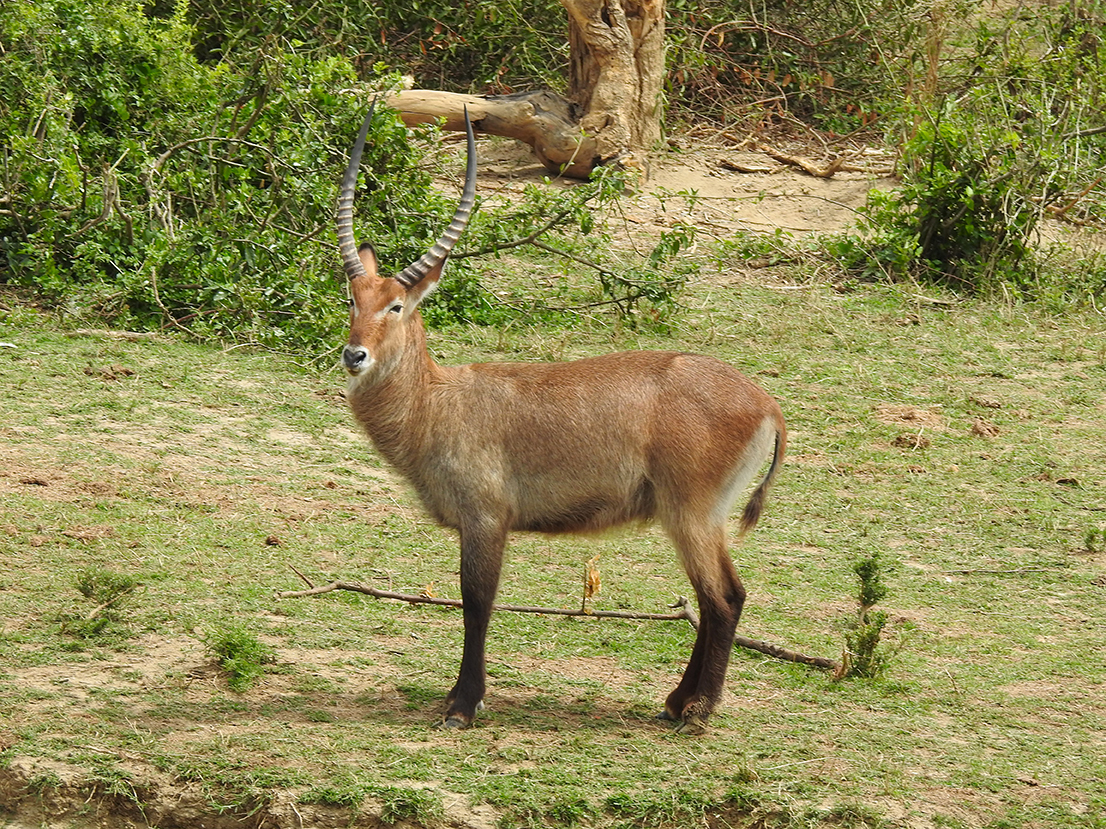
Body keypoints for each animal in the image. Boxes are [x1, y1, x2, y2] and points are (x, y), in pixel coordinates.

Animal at [336, 108, 787, 733]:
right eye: (352, 299)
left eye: (396, 306)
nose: (354, 355)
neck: (437, 402)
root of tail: (764, 401)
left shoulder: (486, 520)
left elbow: (477, 604)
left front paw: (463, 705)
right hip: (697, 518)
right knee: (721, 596)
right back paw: (676, 702)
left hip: (689, 514)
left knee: (721, 598)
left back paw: (696, 712)